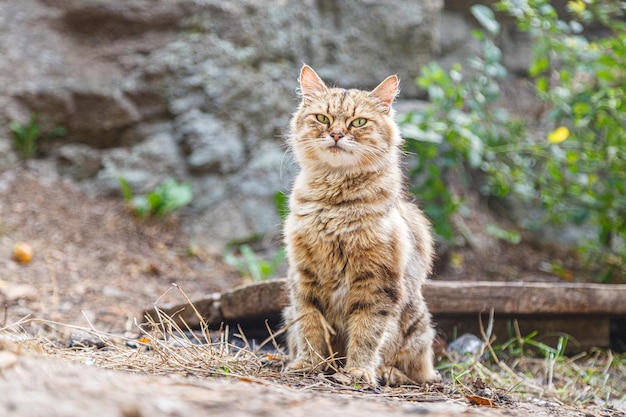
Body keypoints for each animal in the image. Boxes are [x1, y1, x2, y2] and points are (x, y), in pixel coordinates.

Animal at [282, 63, 438, 386]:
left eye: (358, 122)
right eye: (323, 118)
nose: (336, 134)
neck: (333, 205)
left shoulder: (377, 282)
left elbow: (367, 333)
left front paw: (357, 372)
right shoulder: (304, 278)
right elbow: (310, 328)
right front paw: (308, 365)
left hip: (416, 324)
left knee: (417, 372)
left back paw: (386, 373)